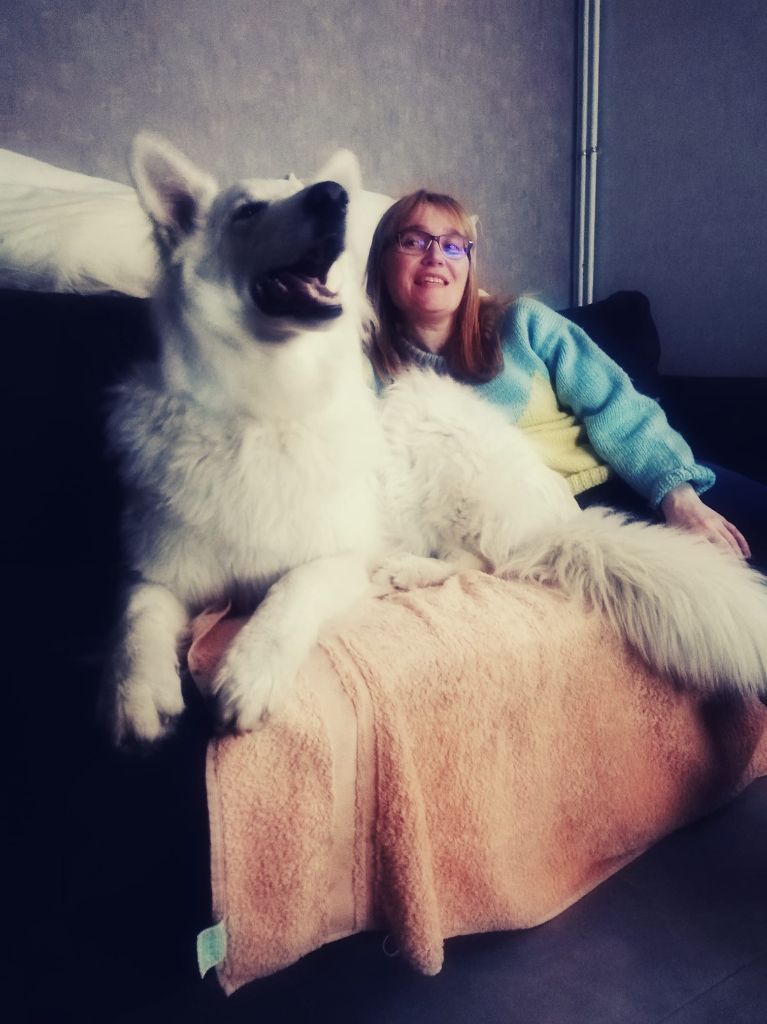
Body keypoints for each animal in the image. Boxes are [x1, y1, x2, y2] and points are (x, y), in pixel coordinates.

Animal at [101, 133, 384, 744]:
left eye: (309, 186)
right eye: (248, 211)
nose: (334, 196)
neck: (266, 408)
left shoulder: (341, 560)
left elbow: (292, 588)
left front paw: (251, 670)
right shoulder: (159, 573)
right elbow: (136, 612)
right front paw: (135, 689)